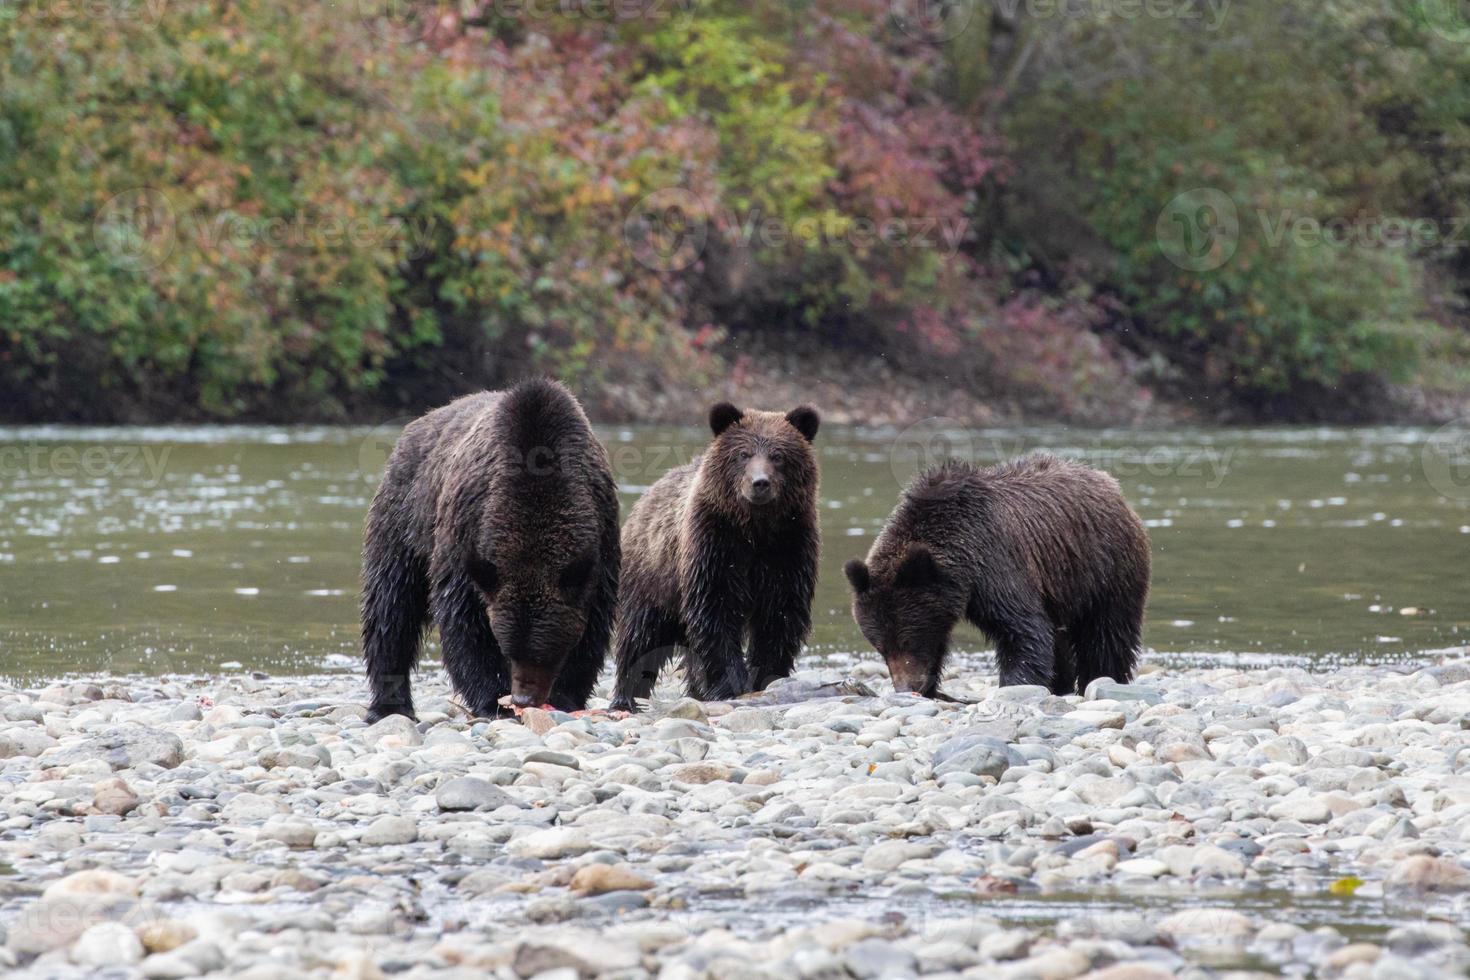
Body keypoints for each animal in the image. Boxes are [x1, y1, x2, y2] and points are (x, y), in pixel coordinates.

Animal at [364, 379, 623, 725]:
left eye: (545, 652)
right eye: (509, 649)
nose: (523, 697)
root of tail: (420, 422)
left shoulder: (600, 540)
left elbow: (592, 624)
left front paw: (564, 694)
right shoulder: (466, 538)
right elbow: (465, 622)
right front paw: (492, 701)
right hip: (404, 521)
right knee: (391, 606)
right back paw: (389, 704)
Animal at [602, 402, 823, 708]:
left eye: (778, 455)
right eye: (743, 454)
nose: (760, 483)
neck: (755, 528)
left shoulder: (788, 547)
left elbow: (780, 614)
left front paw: (765, 677)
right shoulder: (715, 543)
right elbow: (716, 610)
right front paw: (731, 684)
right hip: (652, 579)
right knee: (640, 638)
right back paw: (626, 698)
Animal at [852, 458, 1146, 696]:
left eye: (908, 640)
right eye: (880, 646)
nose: (905, 688)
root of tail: (1110, 484)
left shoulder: (995, 564)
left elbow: (1023, 631)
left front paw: (1014, 685)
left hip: (1104, 569)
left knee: (1106, 633)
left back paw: (1101, 678)